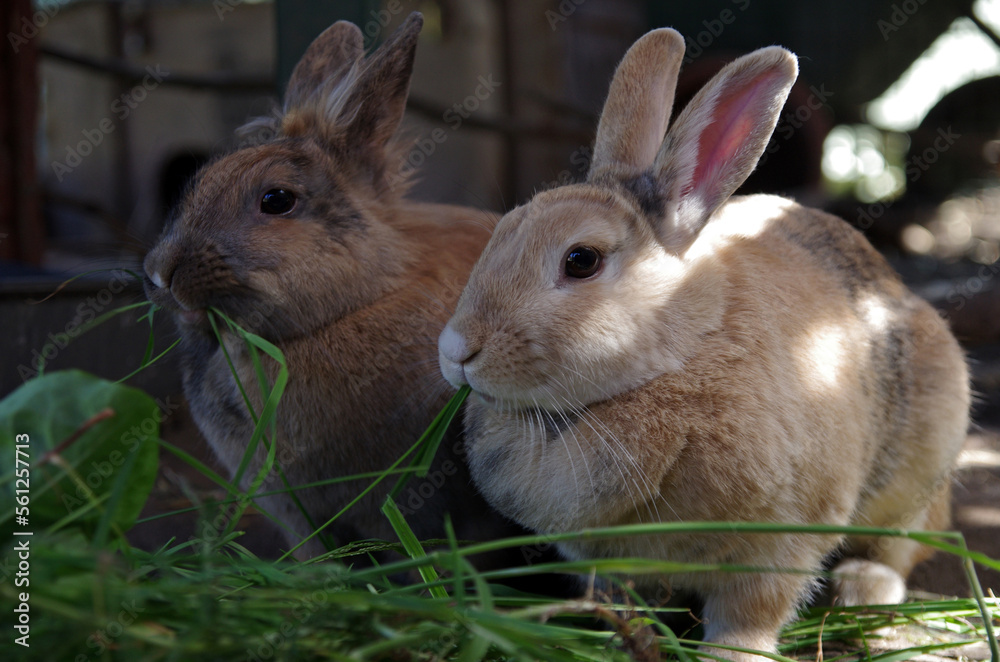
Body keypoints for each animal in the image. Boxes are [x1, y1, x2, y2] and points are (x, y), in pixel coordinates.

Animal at [438, 27, 969, 660]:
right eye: (499, 231)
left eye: (581, 260)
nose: (456, 351)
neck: (677, 355)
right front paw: (626, 633)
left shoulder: (782, 541)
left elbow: (752, 609)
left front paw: (731, 652)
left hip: (920, 466)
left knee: (903, 544)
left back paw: (863, 588)